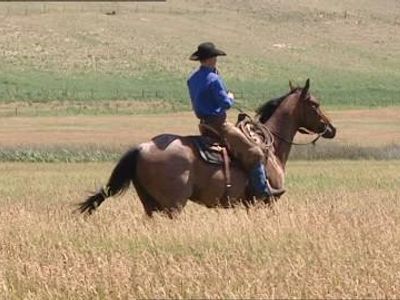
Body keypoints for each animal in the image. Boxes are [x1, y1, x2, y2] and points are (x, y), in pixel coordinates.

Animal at [76, 78, 336, 217]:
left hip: (151, 205)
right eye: (315, 104)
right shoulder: (265, 202)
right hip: (173, 205)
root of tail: (142, 148)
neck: (271, 148)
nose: (331, 128)